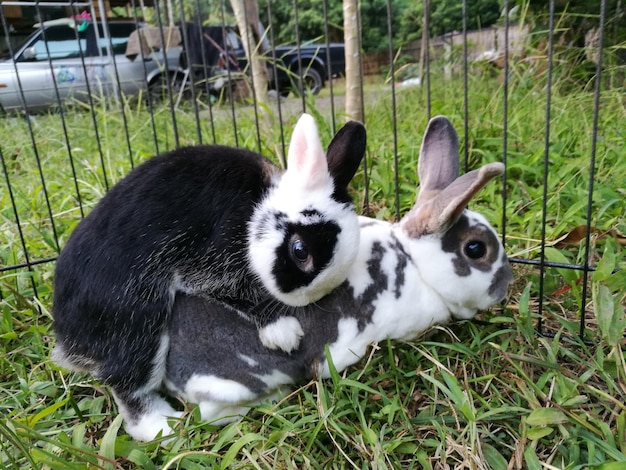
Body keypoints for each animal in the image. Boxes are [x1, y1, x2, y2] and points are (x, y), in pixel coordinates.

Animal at [52, 113, 366, 440]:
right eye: (300, 251)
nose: (303, 300)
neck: (257, 207)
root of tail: (67, 337)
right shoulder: (213, 260)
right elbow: (240, 289)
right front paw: (283, 331)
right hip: (139, 324)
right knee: (130, 389)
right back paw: (164, 428)